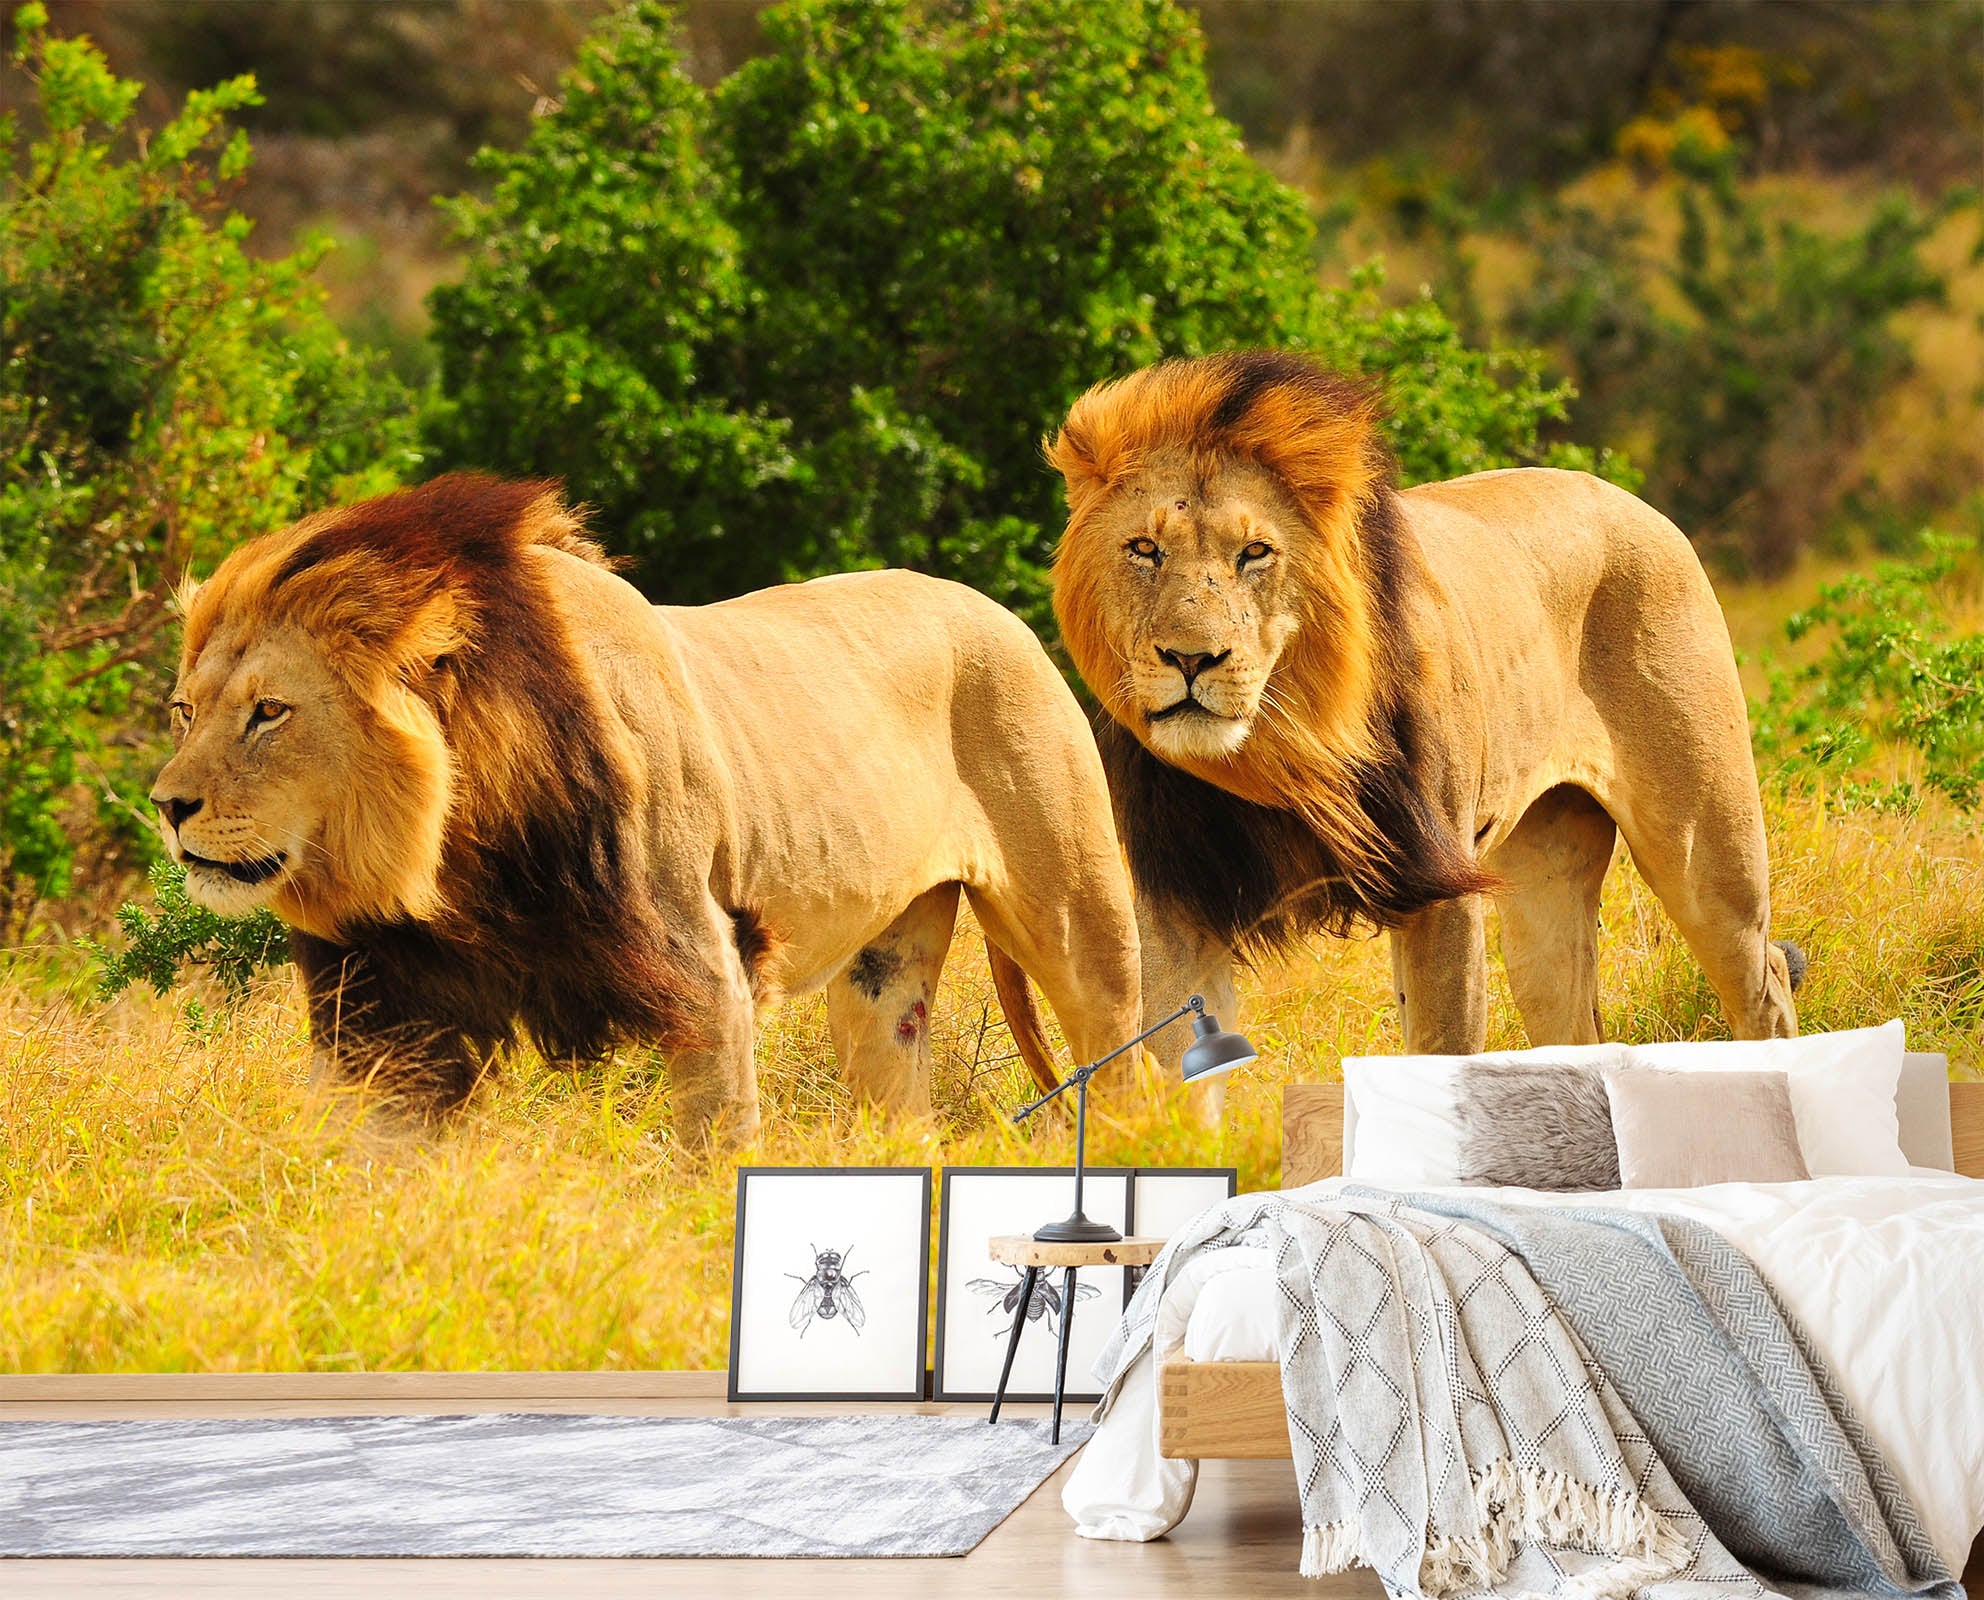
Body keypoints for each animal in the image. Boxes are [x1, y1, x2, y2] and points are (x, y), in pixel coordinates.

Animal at [149, 473, 1142, 1137]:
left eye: (269, 713)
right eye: (185, 711)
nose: (167, 805)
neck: (454, 863)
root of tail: (1000, 610)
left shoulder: (705, 972)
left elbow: (714, 1145)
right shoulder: (383, 1015)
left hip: (1078, 913)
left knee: (1122, 1053)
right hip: (881, 977)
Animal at [1046, 350, 1800, 1069]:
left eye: (1254, 552)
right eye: (1145, 550)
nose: (1190, 658)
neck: (1281, 748)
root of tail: (1638, 502)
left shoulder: (1442, 886)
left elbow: (1442, 1043)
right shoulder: (1176, 902)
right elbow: (1172, 1068)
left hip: (1707, 849)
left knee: (1763, 981)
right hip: (1546, 884)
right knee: (1574, 1019)